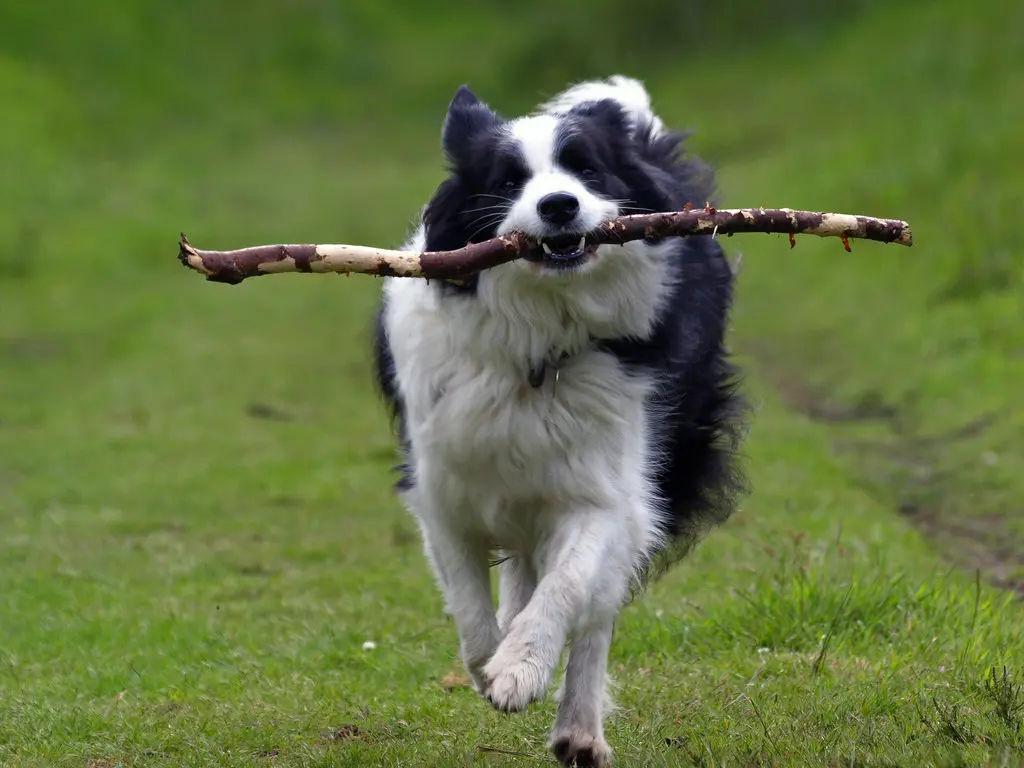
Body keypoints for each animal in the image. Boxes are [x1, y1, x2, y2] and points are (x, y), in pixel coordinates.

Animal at [372, 75, 749, 765]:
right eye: (507, 179)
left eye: (586, 169)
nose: (558, 206)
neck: (539, 340)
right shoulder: (440, 488)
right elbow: (468, 605)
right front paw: (492, 662)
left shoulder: (606, 489)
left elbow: (570, 586)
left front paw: (522, 668)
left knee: (595, 607)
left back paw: (579, 729)